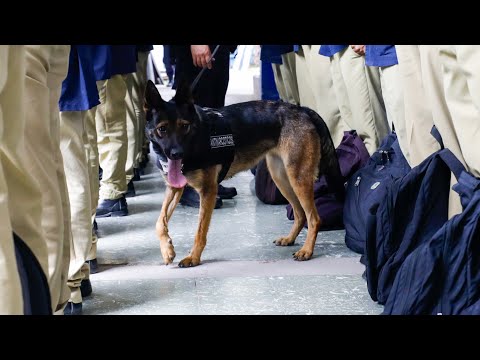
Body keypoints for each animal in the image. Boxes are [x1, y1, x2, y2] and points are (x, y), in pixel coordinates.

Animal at [144, 81, 344, 268]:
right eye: (162, 129)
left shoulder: (208, 191)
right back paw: (290, 239)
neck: (197, 135)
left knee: (314, 218)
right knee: (300, 214)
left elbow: (199, 232)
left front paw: (193, 257)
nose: (176, 154)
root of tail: (303, 110)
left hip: (298, 178)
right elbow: (159, 222)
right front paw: (167, 250)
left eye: (184, 126)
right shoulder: (174, 187)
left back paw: (307, 250)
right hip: (281, 177)